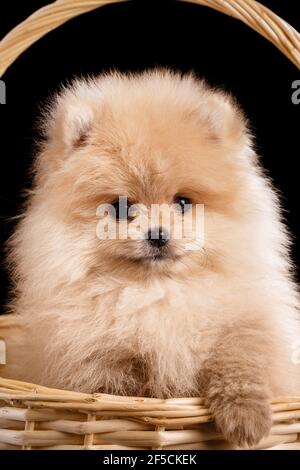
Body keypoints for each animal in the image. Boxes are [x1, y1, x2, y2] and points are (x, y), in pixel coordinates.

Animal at [4, 70, 300, 448]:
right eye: (121, 208)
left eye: (183, 202)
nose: (157, 234)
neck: (156, 295)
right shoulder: (97, 362)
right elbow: (125, 393)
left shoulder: (247, 324)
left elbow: (240, 359)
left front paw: (248, 419)